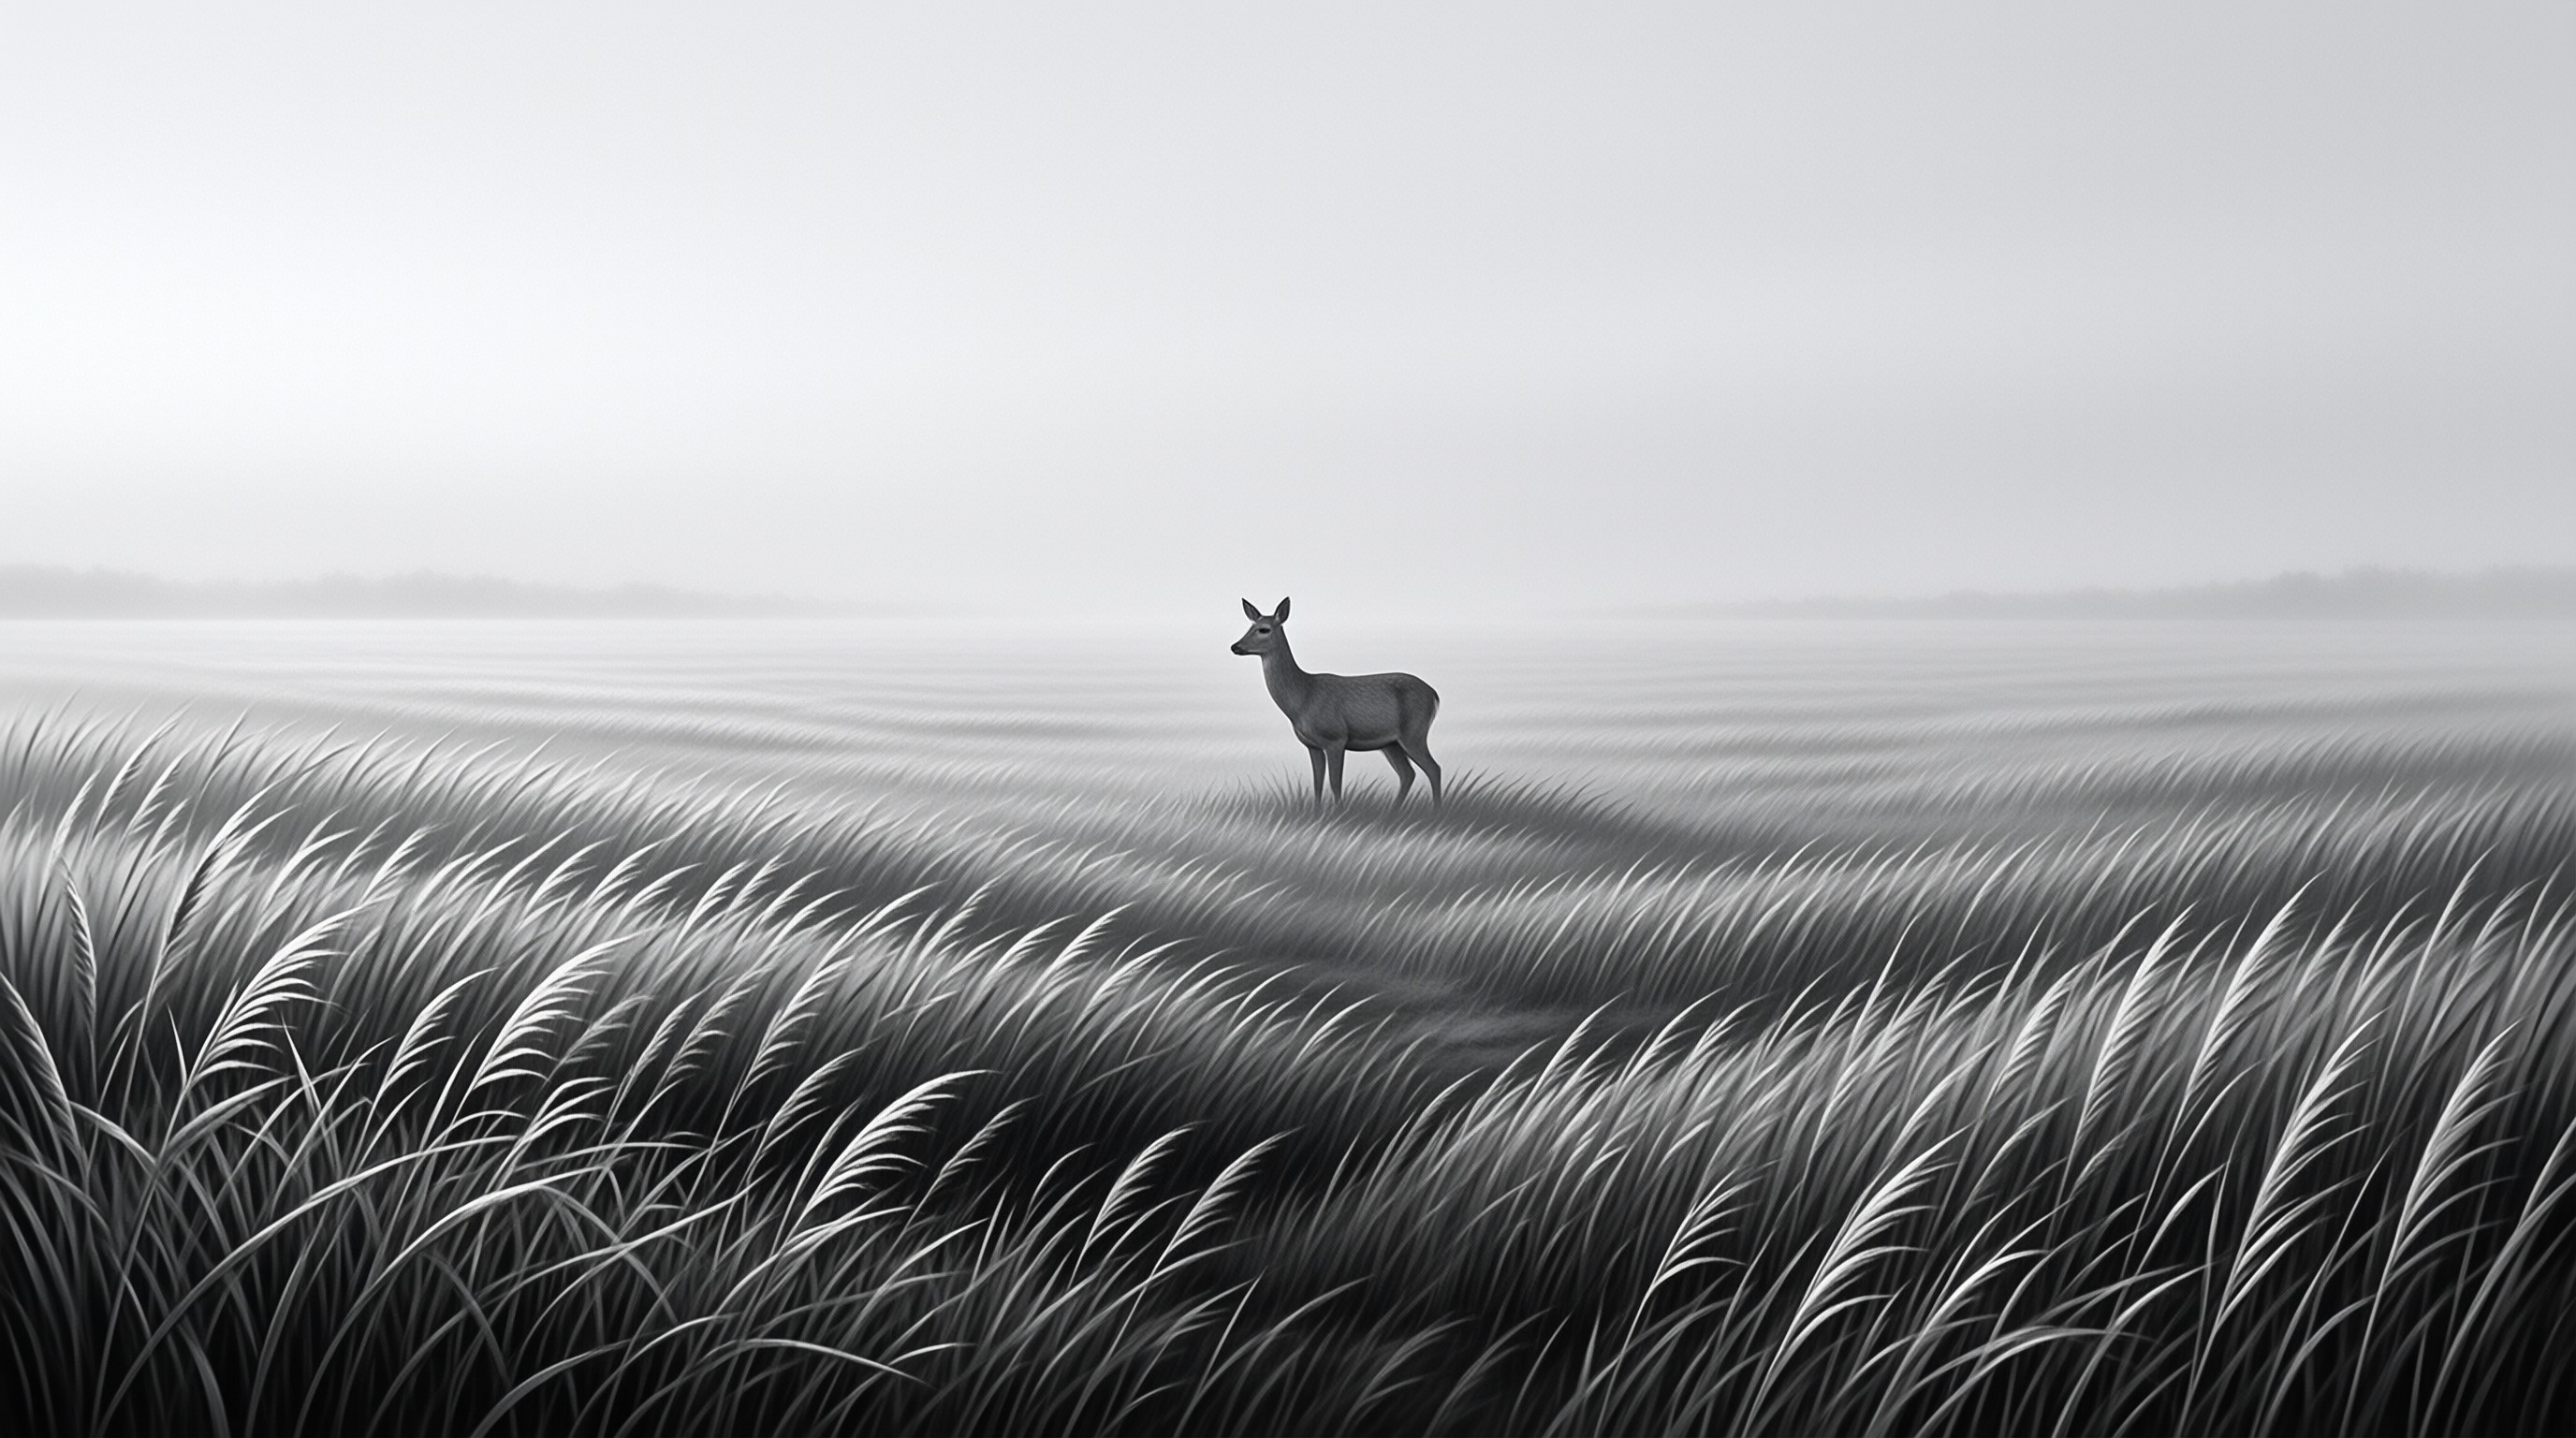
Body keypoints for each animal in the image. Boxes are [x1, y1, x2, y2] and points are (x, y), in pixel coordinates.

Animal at [1229, 597, 1443, 806]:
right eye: (1249, 627)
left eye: (1264, 629)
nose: (1235, 646)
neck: (1303, 697)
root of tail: (1434, 694)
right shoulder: (1312, 745)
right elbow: (1317, 784)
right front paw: (1317, 813)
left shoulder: (1336, 738)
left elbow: (1335, 784)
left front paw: (1339, 813)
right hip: (1391, 742)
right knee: (1407, 773)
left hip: (1414, 731)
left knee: (1434, 768)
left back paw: (1436, 811)